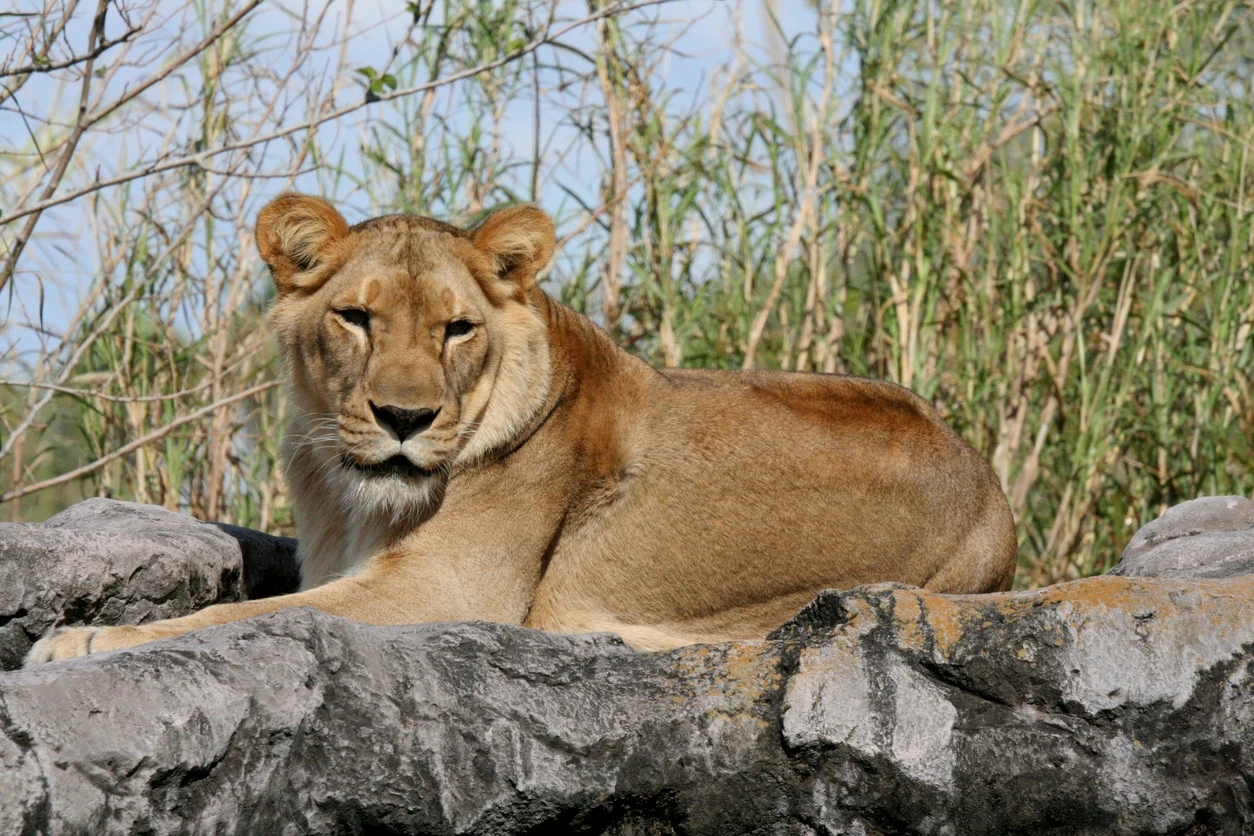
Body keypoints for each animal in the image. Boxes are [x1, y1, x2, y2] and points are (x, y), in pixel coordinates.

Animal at [25, 195, 1016, 665]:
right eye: (356, 318)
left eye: (458, 328)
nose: (405, 418)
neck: (355, 498)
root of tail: (993, 492)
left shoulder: (445, 591)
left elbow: (239, 618)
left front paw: (82, 640)